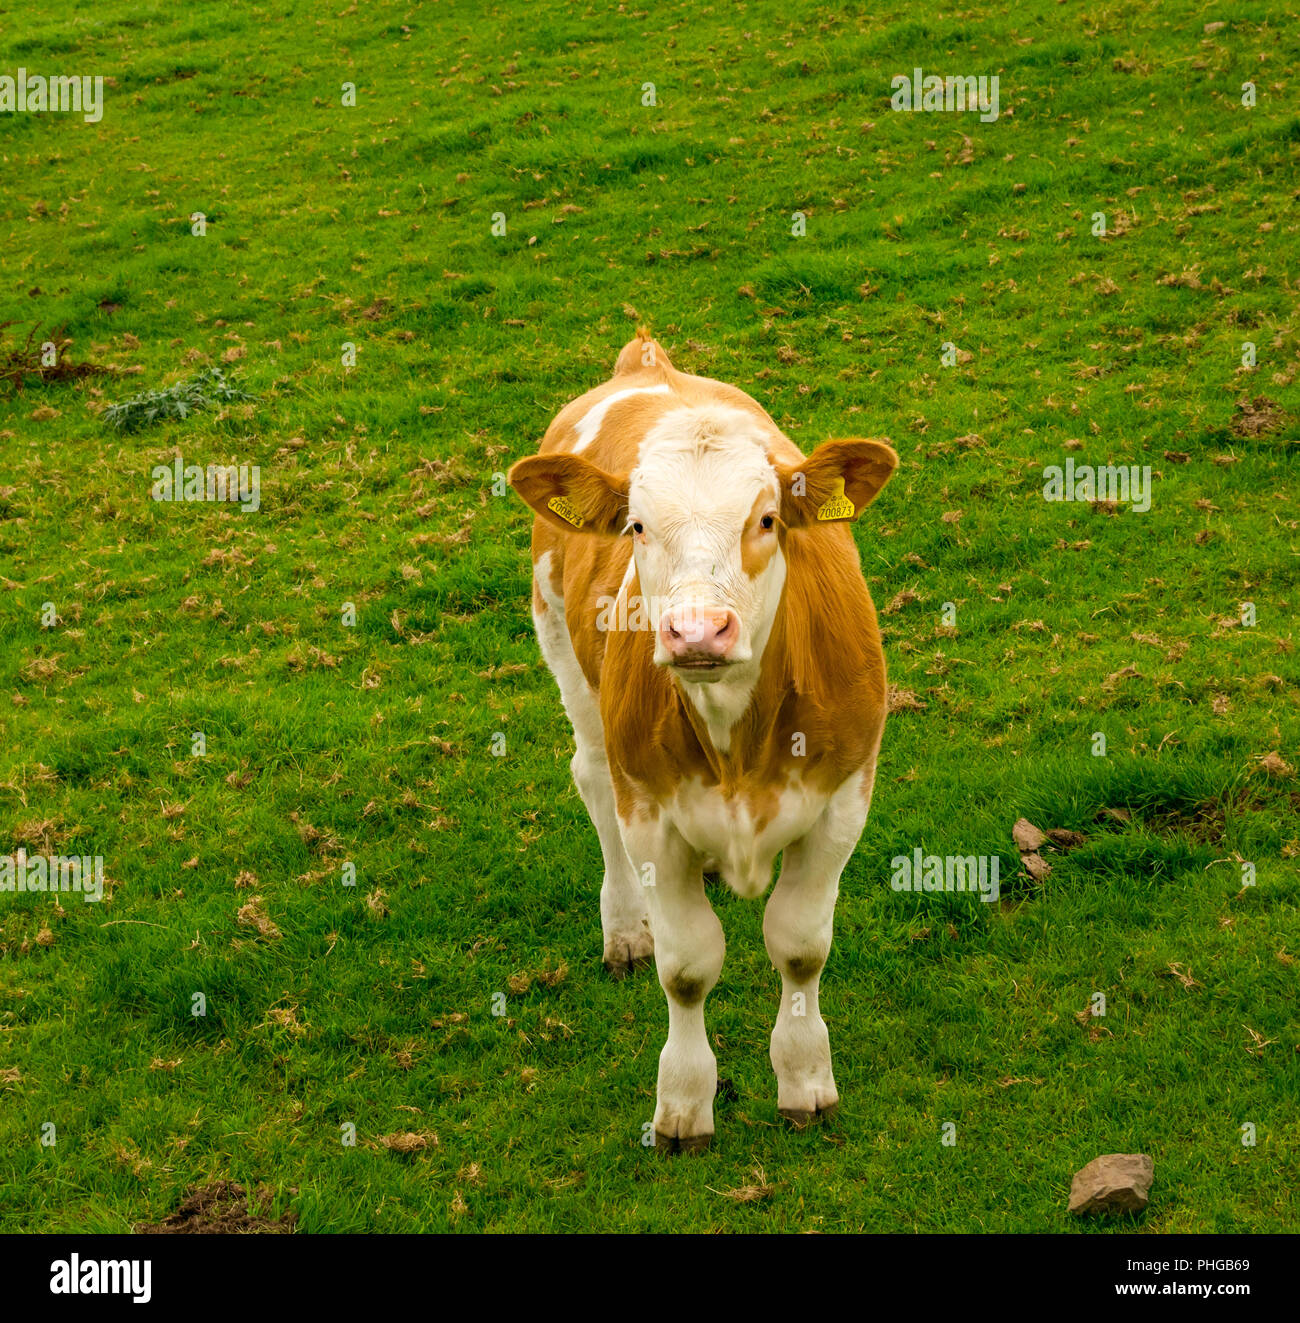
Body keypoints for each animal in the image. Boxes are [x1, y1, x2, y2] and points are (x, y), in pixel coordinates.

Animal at [507, 330, 893, 1148]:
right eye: (637, 525)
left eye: (767, 519)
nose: (696, 632)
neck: (735, 734)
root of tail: (648, 363)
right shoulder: (651, 812)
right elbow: (687, 968)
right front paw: (684, 1101)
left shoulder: (844, 797)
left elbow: (800, 947)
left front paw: (805, 1078)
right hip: (564, 654)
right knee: (591, 777)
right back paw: (626, 926)